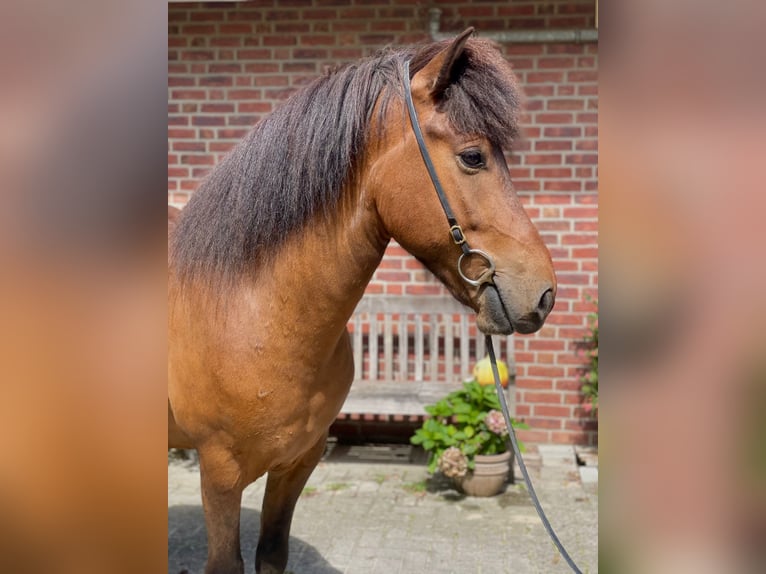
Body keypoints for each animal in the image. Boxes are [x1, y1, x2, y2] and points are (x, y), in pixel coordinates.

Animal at [170, 29, 560, 572]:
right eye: (473, 156)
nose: (545, 294)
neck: (254, 316)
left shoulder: (298, 464)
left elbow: (273, 552)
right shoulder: (219, 475)